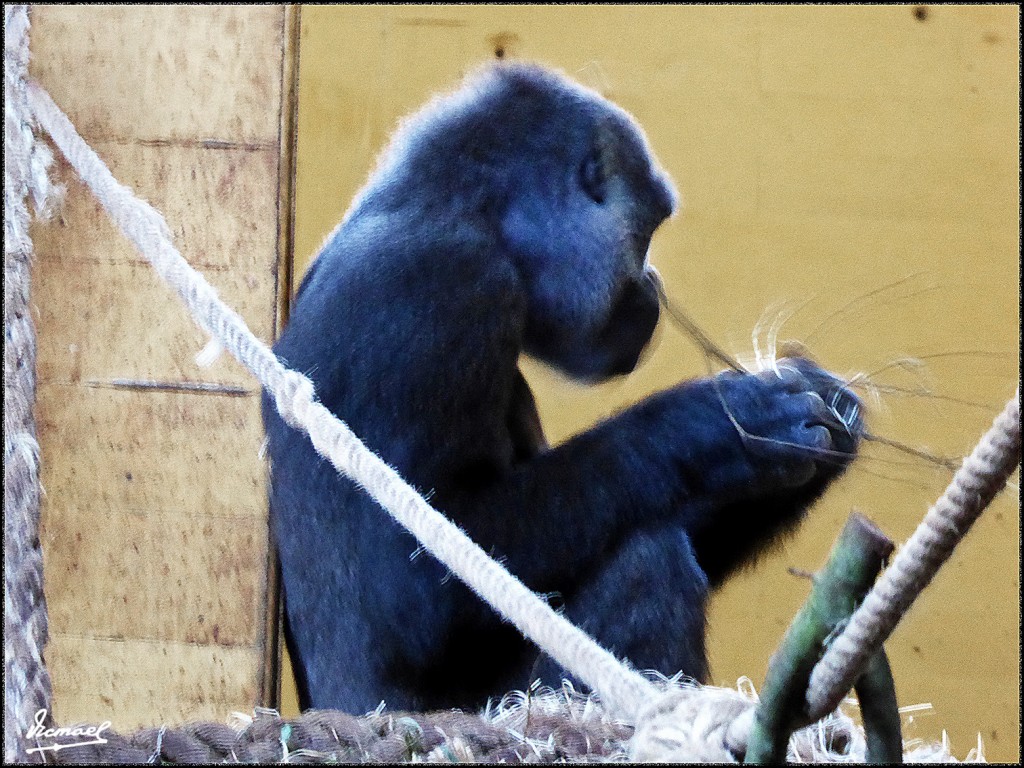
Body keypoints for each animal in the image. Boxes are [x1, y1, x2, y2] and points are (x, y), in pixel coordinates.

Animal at [264, 61, 864, 716]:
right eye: (645, 234)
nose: (652, 283)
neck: (457, 210)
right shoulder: (440, 282)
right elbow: (415, 585)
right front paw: (719, 425)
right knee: (646, 561)